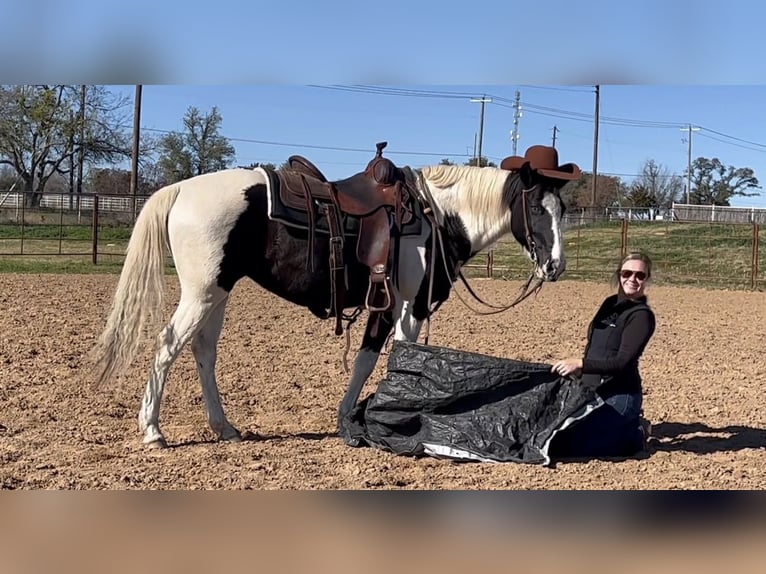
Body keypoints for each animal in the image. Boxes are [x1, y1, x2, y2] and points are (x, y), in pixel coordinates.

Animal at [90, 145, 573, 448]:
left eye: (563, 210)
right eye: (535, 208)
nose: (555, 266)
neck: (436, 215)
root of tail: (181, 189)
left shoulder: (392, 307)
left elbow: (377, 359)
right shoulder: (405, 305)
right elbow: (388, 358)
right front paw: (376, 421)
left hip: (217, 293)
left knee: (203, 351)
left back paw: (223, 427)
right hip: (202, 293)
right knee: (167, 346)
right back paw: (153, 431)